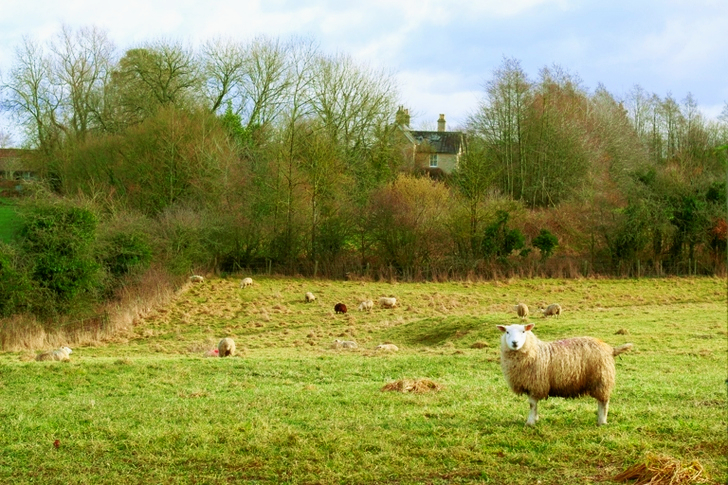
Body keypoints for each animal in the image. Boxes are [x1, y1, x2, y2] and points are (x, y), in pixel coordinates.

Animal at [496, 323, 633, 426]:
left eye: (523, 331)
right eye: (507, 332)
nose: (514, 343)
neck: (534, 351)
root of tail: (610, 349)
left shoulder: (536, 384)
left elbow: (532, 404)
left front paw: (530, 423)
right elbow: (533, 405)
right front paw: (535, 419)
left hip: (601, 379)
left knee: (603, 402)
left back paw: (602, 422)